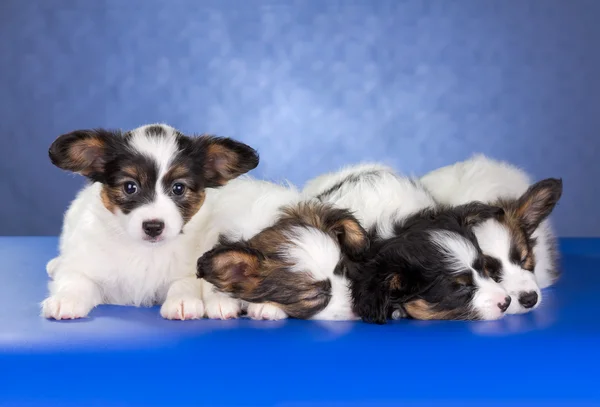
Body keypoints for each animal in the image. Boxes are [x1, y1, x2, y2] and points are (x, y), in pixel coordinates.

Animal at [41, 122, 258, 320]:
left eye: (178, 188)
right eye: (130, 187)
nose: (153, 227)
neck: (145, 251)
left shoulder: (191, 269)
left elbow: (183, 283)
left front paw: (182, 301)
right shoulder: (84, 266)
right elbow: (76, 281)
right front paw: (66, 300)